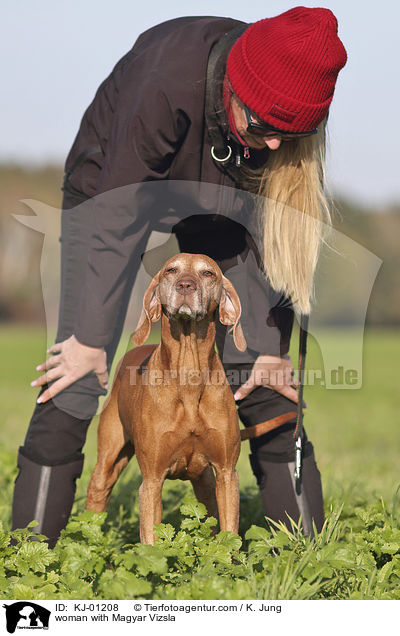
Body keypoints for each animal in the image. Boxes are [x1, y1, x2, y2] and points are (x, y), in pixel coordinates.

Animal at [87, 252, 248, 540]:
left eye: (208, 273)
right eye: (171, 270)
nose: (185, 285)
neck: (188, 373)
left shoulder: (227, 473)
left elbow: (228, 534)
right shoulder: (151, 480)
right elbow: (150, 541)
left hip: (206, 482)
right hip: (108, 460)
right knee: (96, 495)